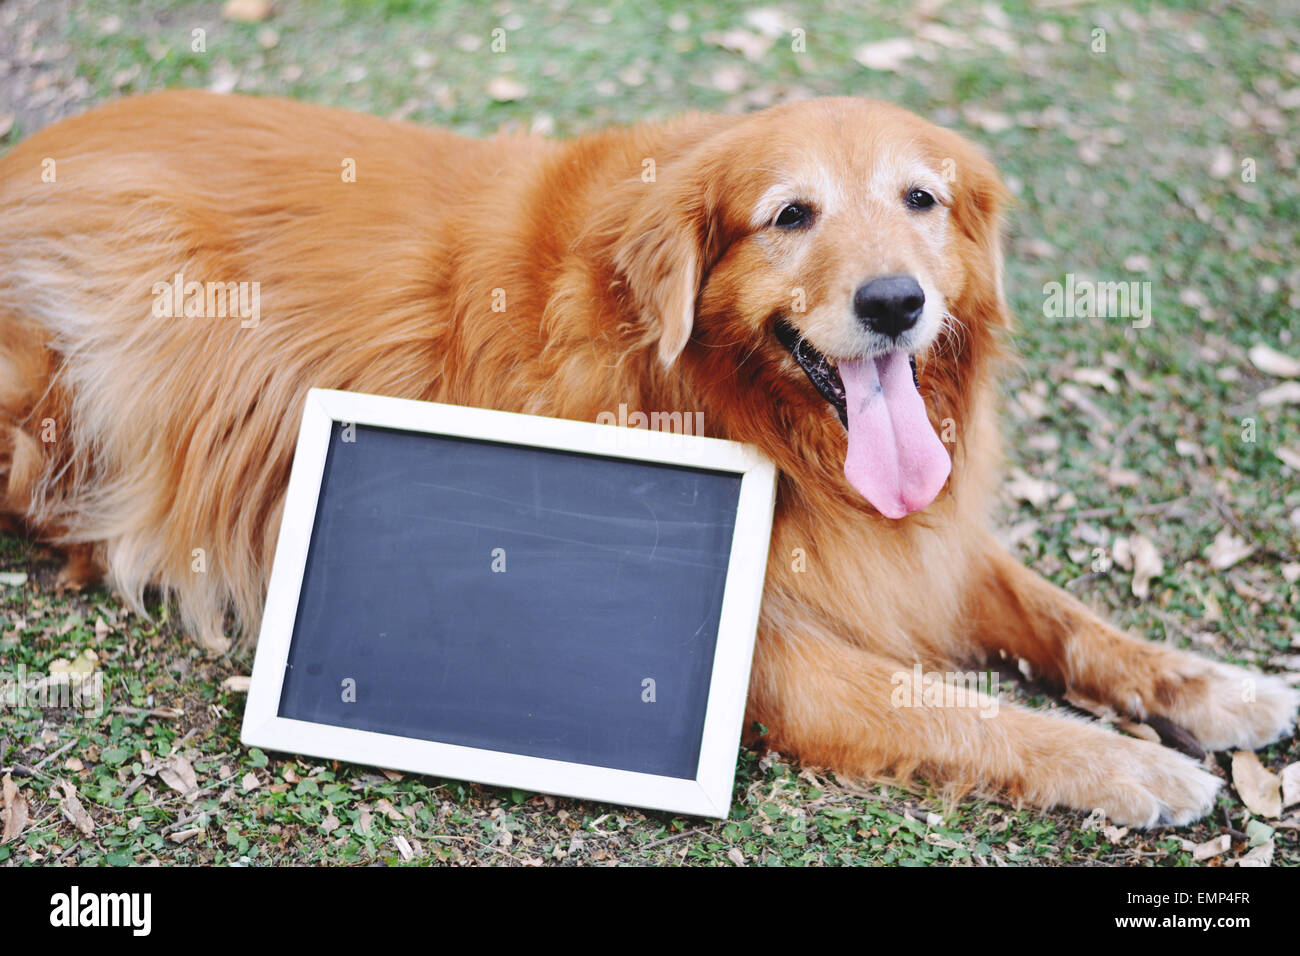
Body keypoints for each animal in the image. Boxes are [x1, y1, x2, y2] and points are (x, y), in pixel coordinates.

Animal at [0, 89, 1289, 827]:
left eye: (921, 199)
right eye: (789, 215)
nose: (894, 303)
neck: (721, 398)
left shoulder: (911, 540)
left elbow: (1063, 616)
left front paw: (1207, 687)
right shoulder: (759, 649)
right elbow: (958, 708)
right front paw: (1130, 769)